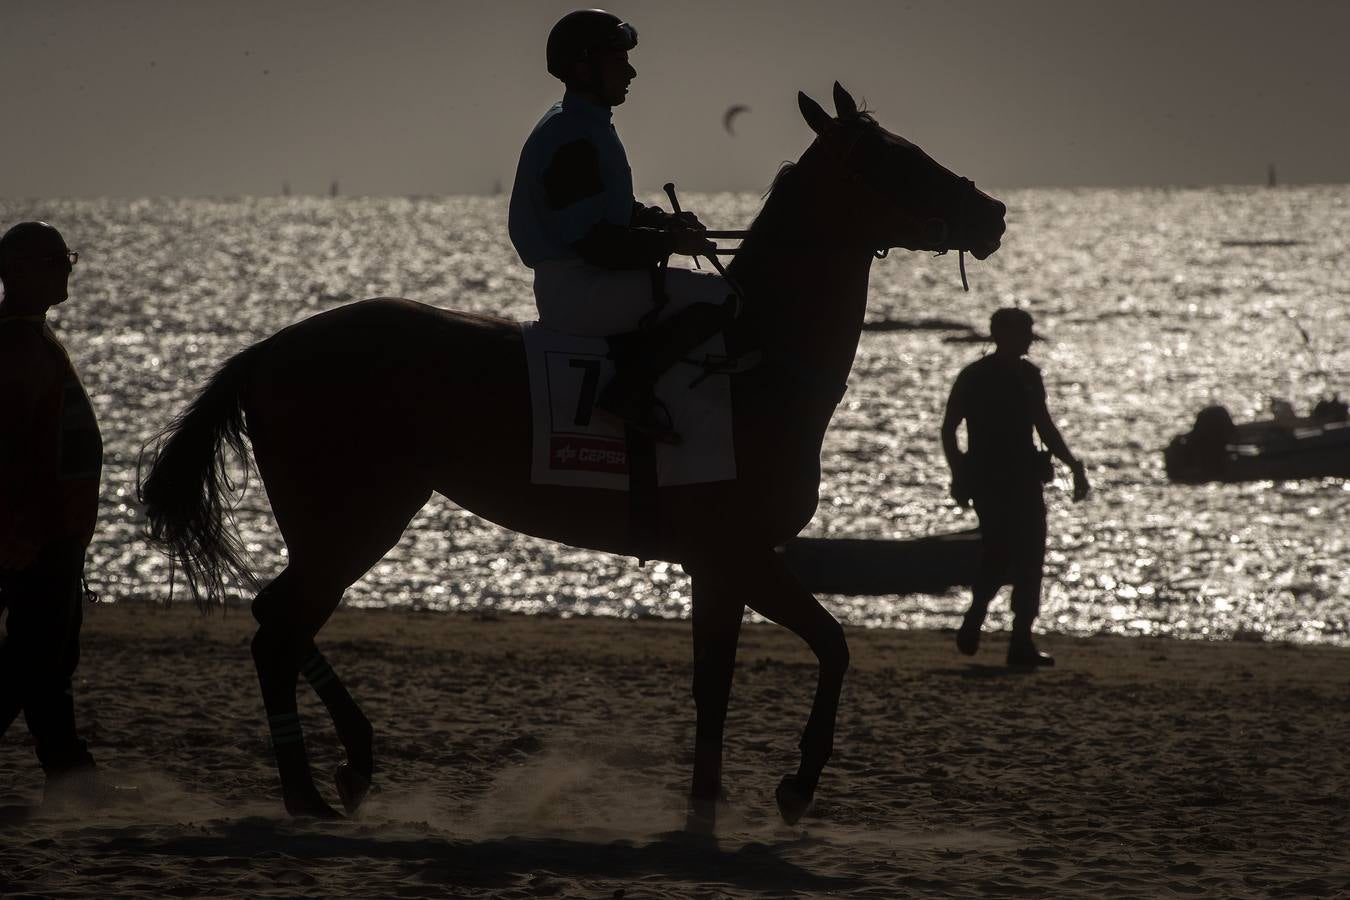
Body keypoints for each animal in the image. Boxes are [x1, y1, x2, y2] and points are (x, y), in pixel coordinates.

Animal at [139, 80, 1004, 825]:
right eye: (893, 158)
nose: (993, 210)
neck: (756, 360)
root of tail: (269, 350)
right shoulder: (741, 553)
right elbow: (830, 645)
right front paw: (794, 784)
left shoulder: (717, 564)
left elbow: (719, 683)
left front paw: (707, 804)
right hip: (354, 520)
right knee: (279, 630)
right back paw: (309, 790)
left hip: (345, 523)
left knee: (278, 620)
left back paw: (350, 762)